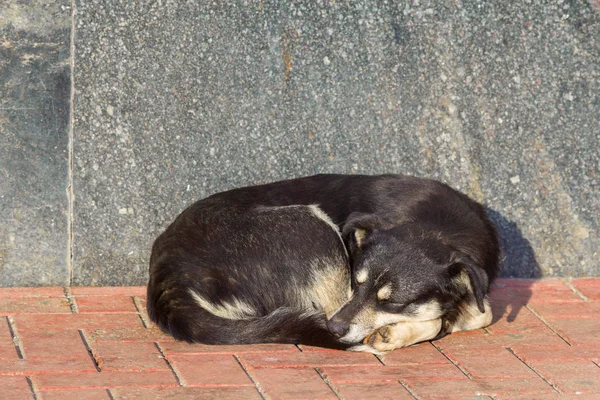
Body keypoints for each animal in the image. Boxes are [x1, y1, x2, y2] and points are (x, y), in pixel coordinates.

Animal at [148, 175, 500, 354]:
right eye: (357, 283)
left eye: (393, 301)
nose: (335, 329)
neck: (438, 225)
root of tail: (167, 273)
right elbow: (456, 317)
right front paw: (399, 332)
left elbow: (482, 313)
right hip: (311, 225)